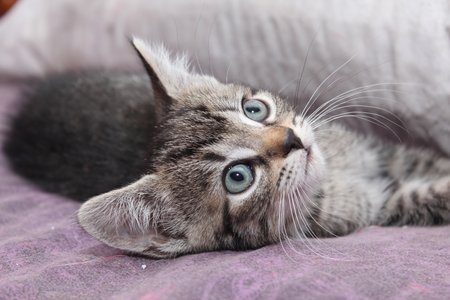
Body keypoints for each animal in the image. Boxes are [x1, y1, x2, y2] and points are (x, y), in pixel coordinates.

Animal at [4, 37, 450, 258]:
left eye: (254, 109)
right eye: (238, 178)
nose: (292, 139)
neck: (336, 177)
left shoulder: (386, 154)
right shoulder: (377, 208)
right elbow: (428, 196)